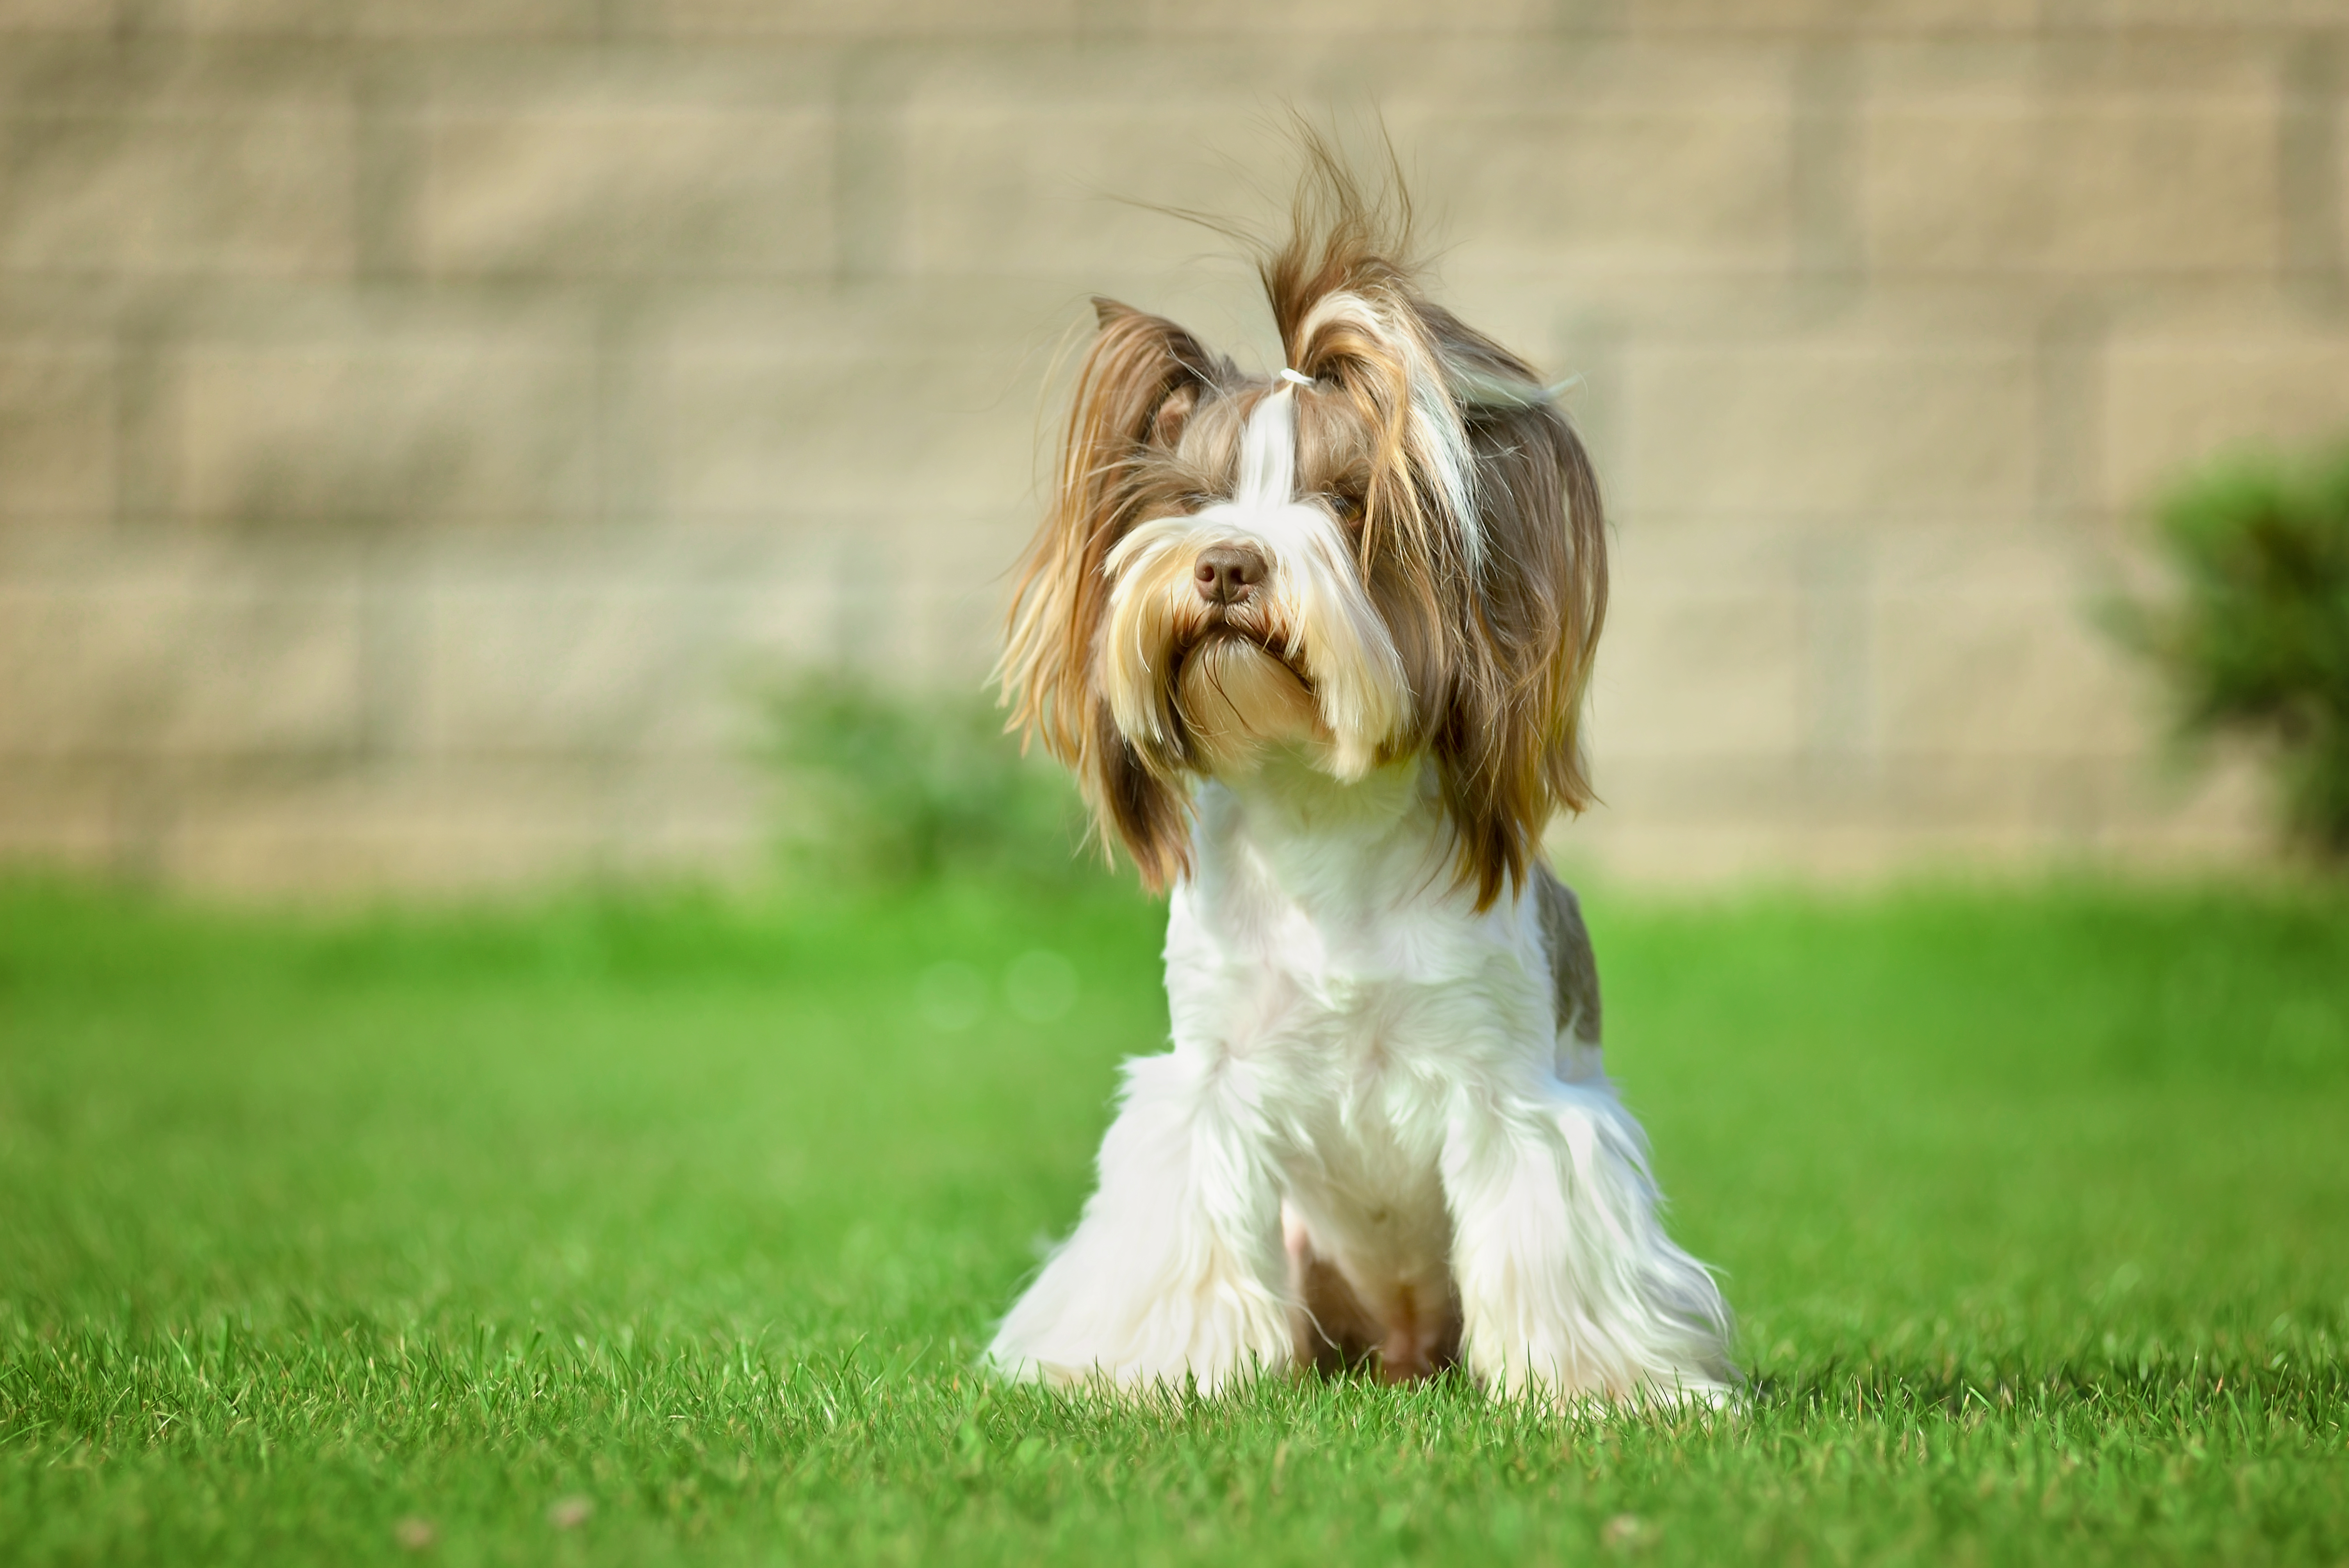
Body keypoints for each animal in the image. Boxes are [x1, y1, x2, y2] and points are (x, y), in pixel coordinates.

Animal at [982, 162, 1738, 1408]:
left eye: (1343, 504)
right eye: (1192, 500)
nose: (1226, 565)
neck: (1316, 808)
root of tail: (1397, 1345)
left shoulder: (1513, 1090)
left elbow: (1542, 1230)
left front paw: (1596, 1392)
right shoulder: (1211, 1077)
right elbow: (1191, 1226)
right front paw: (1161, 1374)